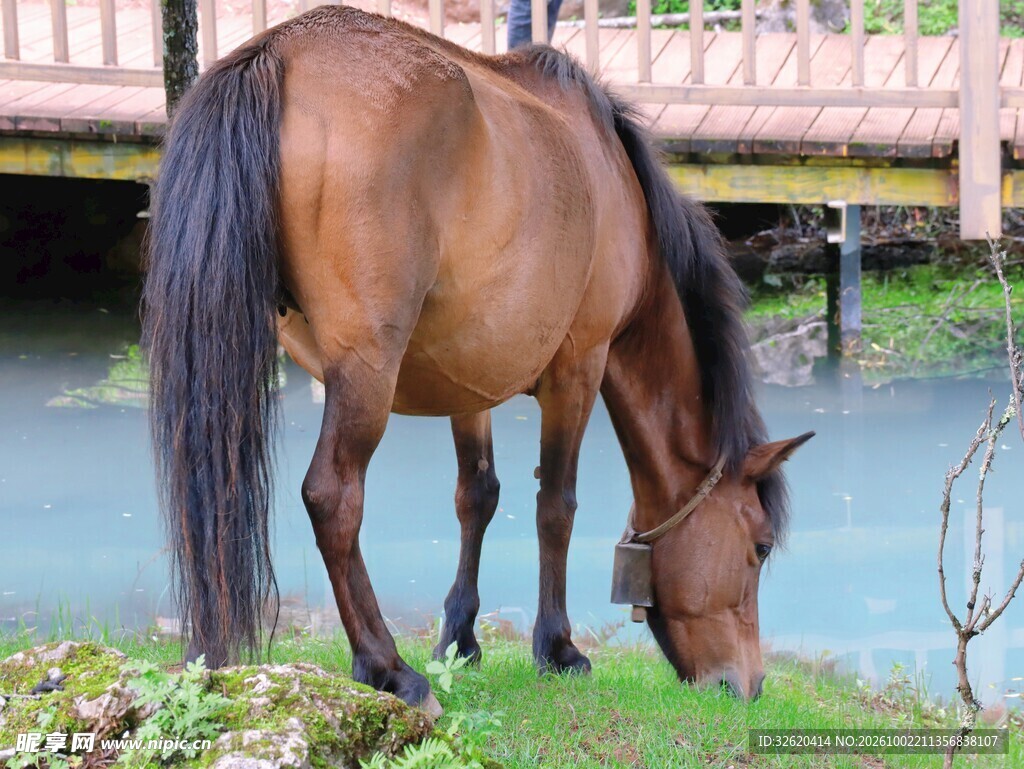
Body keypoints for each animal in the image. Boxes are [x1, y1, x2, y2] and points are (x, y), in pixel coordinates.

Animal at [142, 5, 812, 714]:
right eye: (760, 546)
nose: (748, 684)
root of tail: (280, 50)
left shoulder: (468, 383)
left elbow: (478, 496)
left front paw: (459, 637)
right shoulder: (580, 368)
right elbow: (556, 507)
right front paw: (558, 647)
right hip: (365, 373)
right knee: (332, 497)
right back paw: (387, 667)